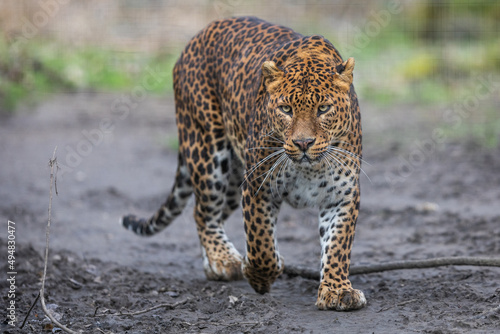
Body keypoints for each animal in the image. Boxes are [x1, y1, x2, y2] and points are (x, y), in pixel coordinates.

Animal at [120, 16, 364, 310]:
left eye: (324, 109)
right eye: (286, 110)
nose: (303, 143)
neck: (308, 167)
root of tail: (199, 35)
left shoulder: (342, 194)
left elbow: (338, 245)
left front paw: (338, 291)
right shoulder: (258, 186)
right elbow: (261, 245)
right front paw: (259, 276)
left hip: (234, 176)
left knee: (214, 211)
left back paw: (217, 260)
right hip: (208, 151)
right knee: (202, 212)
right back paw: (223, 260)